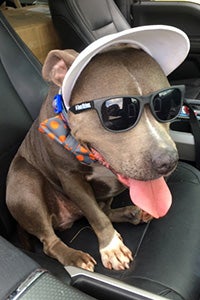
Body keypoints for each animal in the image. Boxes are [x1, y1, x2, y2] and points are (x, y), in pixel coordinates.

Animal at [5, 25, 189, 272]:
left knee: (106, 209)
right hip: (24, 182)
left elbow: (101, 211)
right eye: (115, 111)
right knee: (50, 242)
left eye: (168, 103)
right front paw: (111, 248)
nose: (168, 161)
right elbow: (95, 215)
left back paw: (131, 212)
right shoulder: (71, 179)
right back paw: (74, 256)